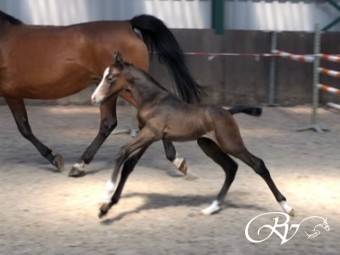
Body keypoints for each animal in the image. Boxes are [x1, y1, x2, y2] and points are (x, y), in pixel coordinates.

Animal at [91, 52, 294, 219]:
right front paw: (105, 208)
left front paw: (106, 193)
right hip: (208, 145)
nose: (94, 98)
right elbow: (129, 165)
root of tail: (228, 112)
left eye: (109, 78)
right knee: (231, 168)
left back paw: (287, 206)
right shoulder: (148, 135)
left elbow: (122, 152)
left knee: (258, 164)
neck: (153, 100)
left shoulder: (150, 133)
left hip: (230, 143)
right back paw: (212, 207)